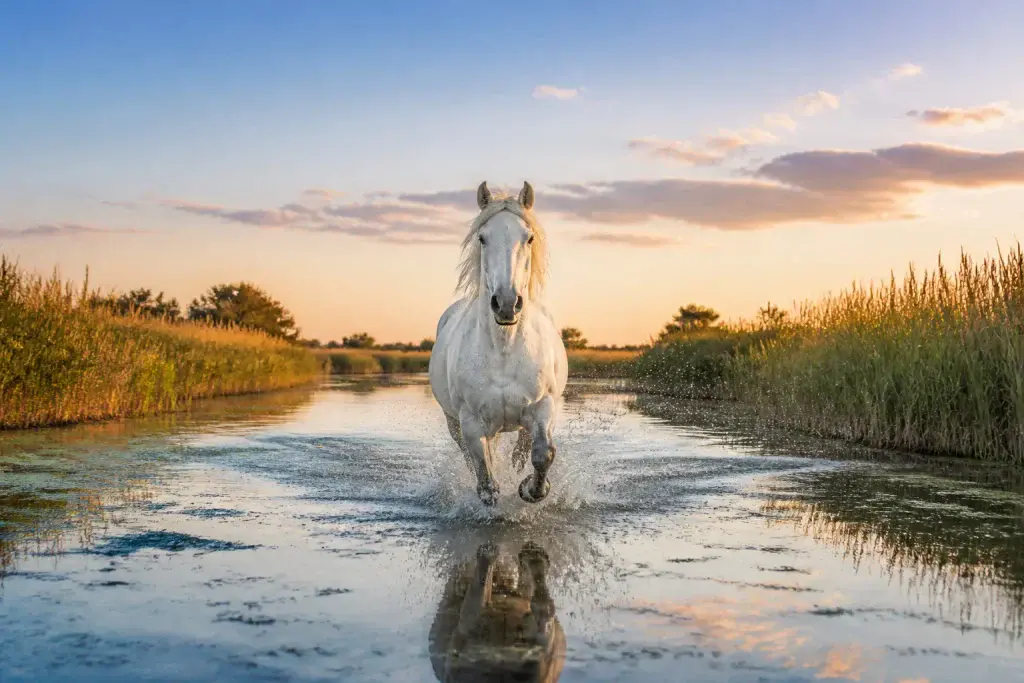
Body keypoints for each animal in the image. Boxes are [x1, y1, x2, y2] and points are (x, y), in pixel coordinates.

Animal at [428, 181, 568, 506]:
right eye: (482, 238)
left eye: (529, 238)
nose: (506, 304)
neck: (505, 350)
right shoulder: (470, 421)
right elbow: (485, 476)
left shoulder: (543, 406)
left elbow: (543, 453)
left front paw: (531, 490)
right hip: (454, 421)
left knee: (524, 446)